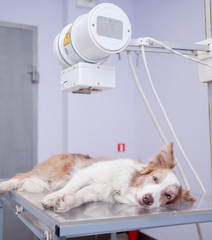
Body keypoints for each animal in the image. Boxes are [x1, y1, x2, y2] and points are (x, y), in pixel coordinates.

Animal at [0, 142, 195, 212]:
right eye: (155, 179)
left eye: (168, 196)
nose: (148, 199)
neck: (122, 186)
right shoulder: (86, 174)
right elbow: (70, 188)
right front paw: (53, 198)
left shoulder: (96, 191)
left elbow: (79, 197)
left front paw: (66, 203)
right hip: (53, 172)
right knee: (18, 176)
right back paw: (3, 186)